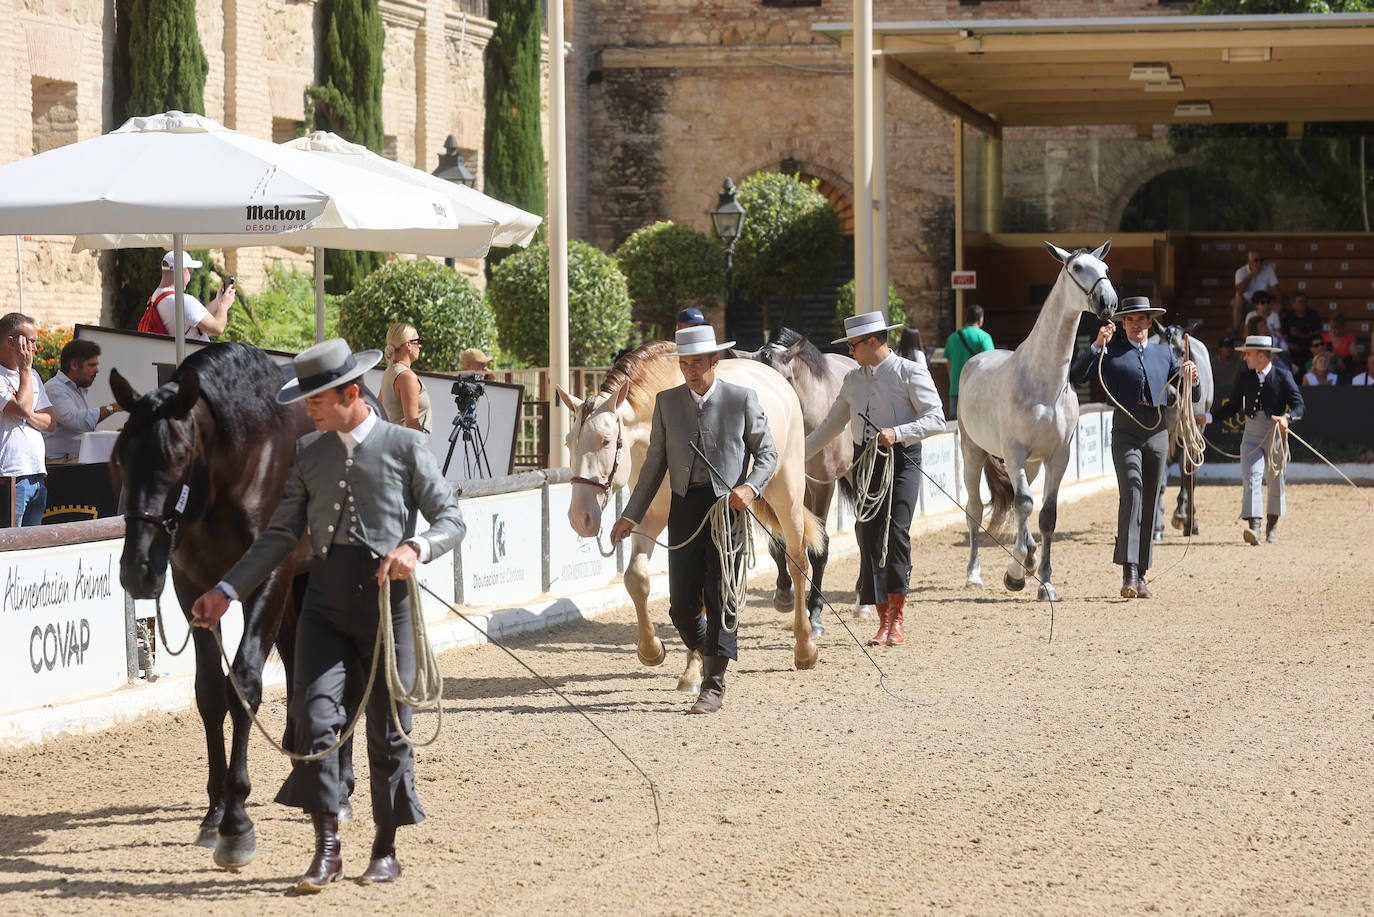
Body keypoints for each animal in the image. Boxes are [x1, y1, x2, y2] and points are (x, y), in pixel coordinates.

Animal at [110, 342, 355, 870]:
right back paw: (301, 769)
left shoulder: (268, 576)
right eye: (119, 457)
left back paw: (342, 785)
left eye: (178, 456)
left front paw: (237, 822)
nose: (138, 570)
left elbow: (244, 682)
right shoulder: (193, 586)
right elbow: (209, 692)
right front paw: (215, 811)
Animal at [730, 327, 856, 637]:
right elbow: (780, 541)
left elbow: (819, 547)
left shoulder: (822, 486)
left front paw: (815, 616)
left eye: (784, 383)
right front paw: (784, 594)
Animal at [957, 241, 1119, 601]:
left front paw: (1044, 581)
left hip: (1029, 464)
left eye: (1105, 269)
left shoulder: (1058, 456)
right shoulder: (1014, 452)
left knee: (1022, 509)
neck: (1044, 383)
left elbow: (1046, 516)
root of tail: (974, 361)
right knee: (976, 509)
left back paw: (1026, 560)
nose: (1108, 302)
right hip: (973, 452)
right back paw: (974, 573)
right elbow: (1025, 505)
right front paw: (1016, 573)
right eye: (1077, 268)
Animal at [1152, 320, 1214, 539]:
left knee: (1185, 468)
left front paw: (1189, 521)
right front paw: (1157, 526)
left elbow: (1189, 476)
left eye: (1181, 352)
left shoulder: (1193, 433)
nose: (1169, 395)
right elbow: (1160, 481)